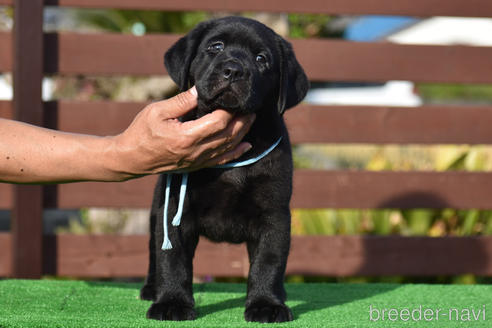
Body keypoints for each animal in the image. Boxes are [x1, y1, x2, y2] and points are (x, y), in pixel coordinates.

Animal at [140, 16, 308, 322]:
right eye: (215, 46)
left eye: (261, 58)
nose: (233, 71)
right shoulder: (174, 210)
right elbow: (173, 259)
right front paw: (172, 302)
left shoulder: (274, 213)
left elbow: (268, 262)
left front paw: (266, 304)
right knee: (153, 251)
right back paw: (151, 289)